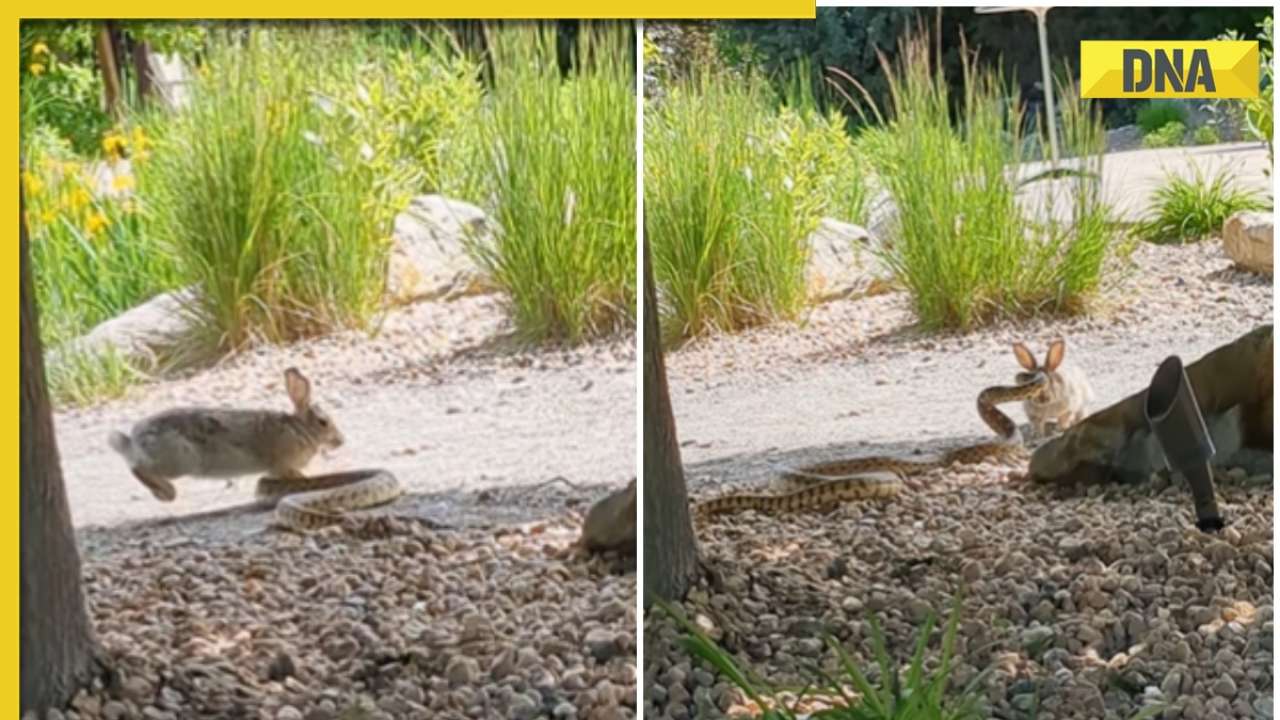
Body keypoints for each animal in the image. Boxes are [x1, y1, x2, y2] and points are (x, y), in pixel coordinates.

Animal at [108, 367, 343, 502]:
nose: (340, 441)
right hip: (178, 461)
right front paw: (308, 481)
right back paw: (167, 493)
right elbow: (296, 475)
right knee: (138, 468)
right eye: (323, 422)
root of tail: (132, 441)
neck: (299, 429)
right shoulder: (282, 465)